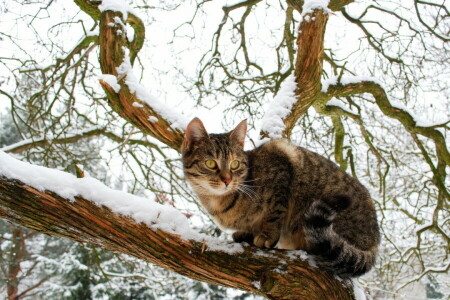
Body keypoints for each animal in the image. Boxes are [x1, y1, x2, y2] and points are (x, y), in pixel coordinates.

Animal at [179, 117, 380, 276]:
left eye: (235, 164)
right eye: (210, 163)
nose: (227, 180)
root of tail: (375, 242)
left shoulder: (281, 162)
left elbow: (274, 212)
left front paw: (267, 234)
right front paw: (246, 233)